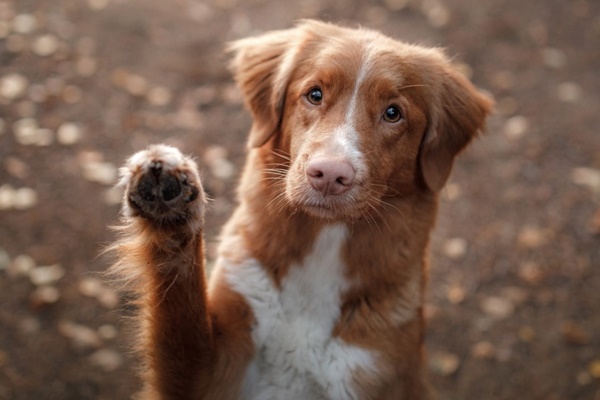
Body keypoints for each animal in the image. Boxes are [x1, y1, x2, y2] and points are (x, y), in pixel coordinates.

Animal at [111, 19, 492, 400]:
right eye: (315, 94)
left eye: (393, 114)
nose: (330, 175)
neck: (322, 248)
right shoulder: (212, 370)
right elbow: (178, 304)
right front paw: (170, 203)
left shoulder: (369, 371)